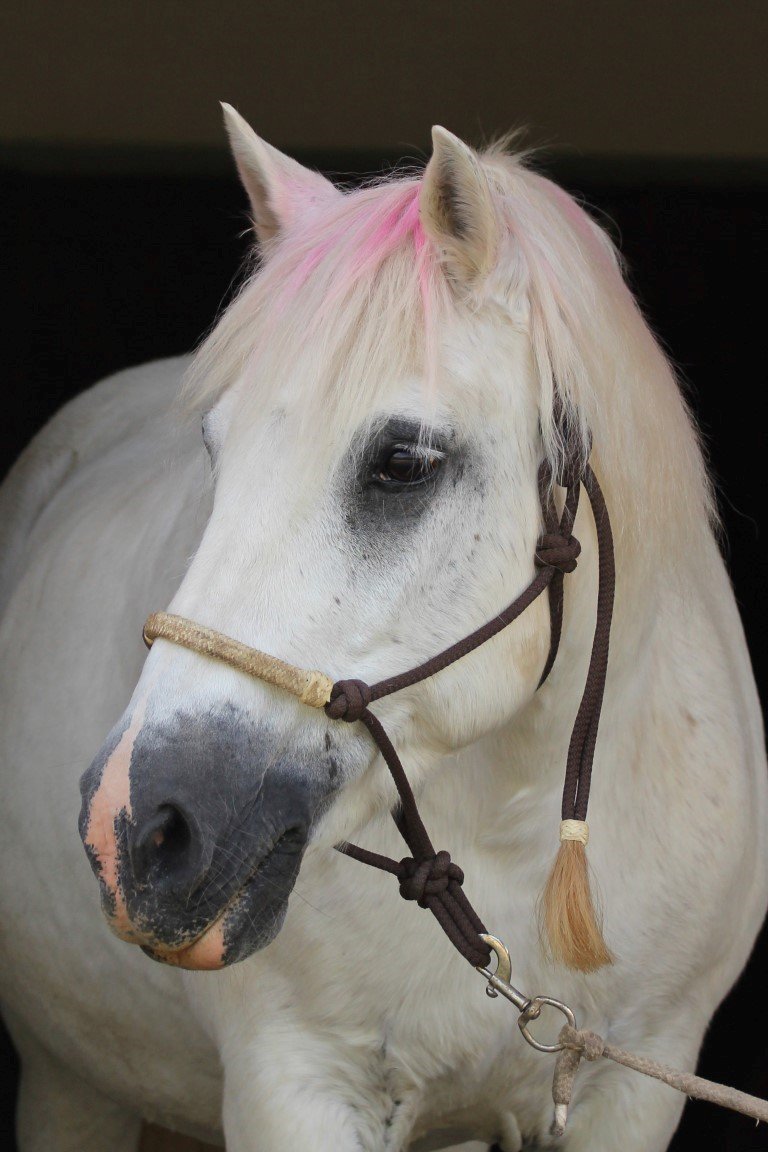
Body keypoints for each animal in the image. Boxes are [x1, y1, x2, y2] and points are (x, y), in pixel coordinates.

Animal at [1, 104, 766, 1152]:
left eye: (402, 462)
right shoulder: (298, 1084)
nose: (137, 826)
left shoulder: (637, 1082)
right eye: (214, 452)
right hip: (72, 1090)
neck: (515, 826)